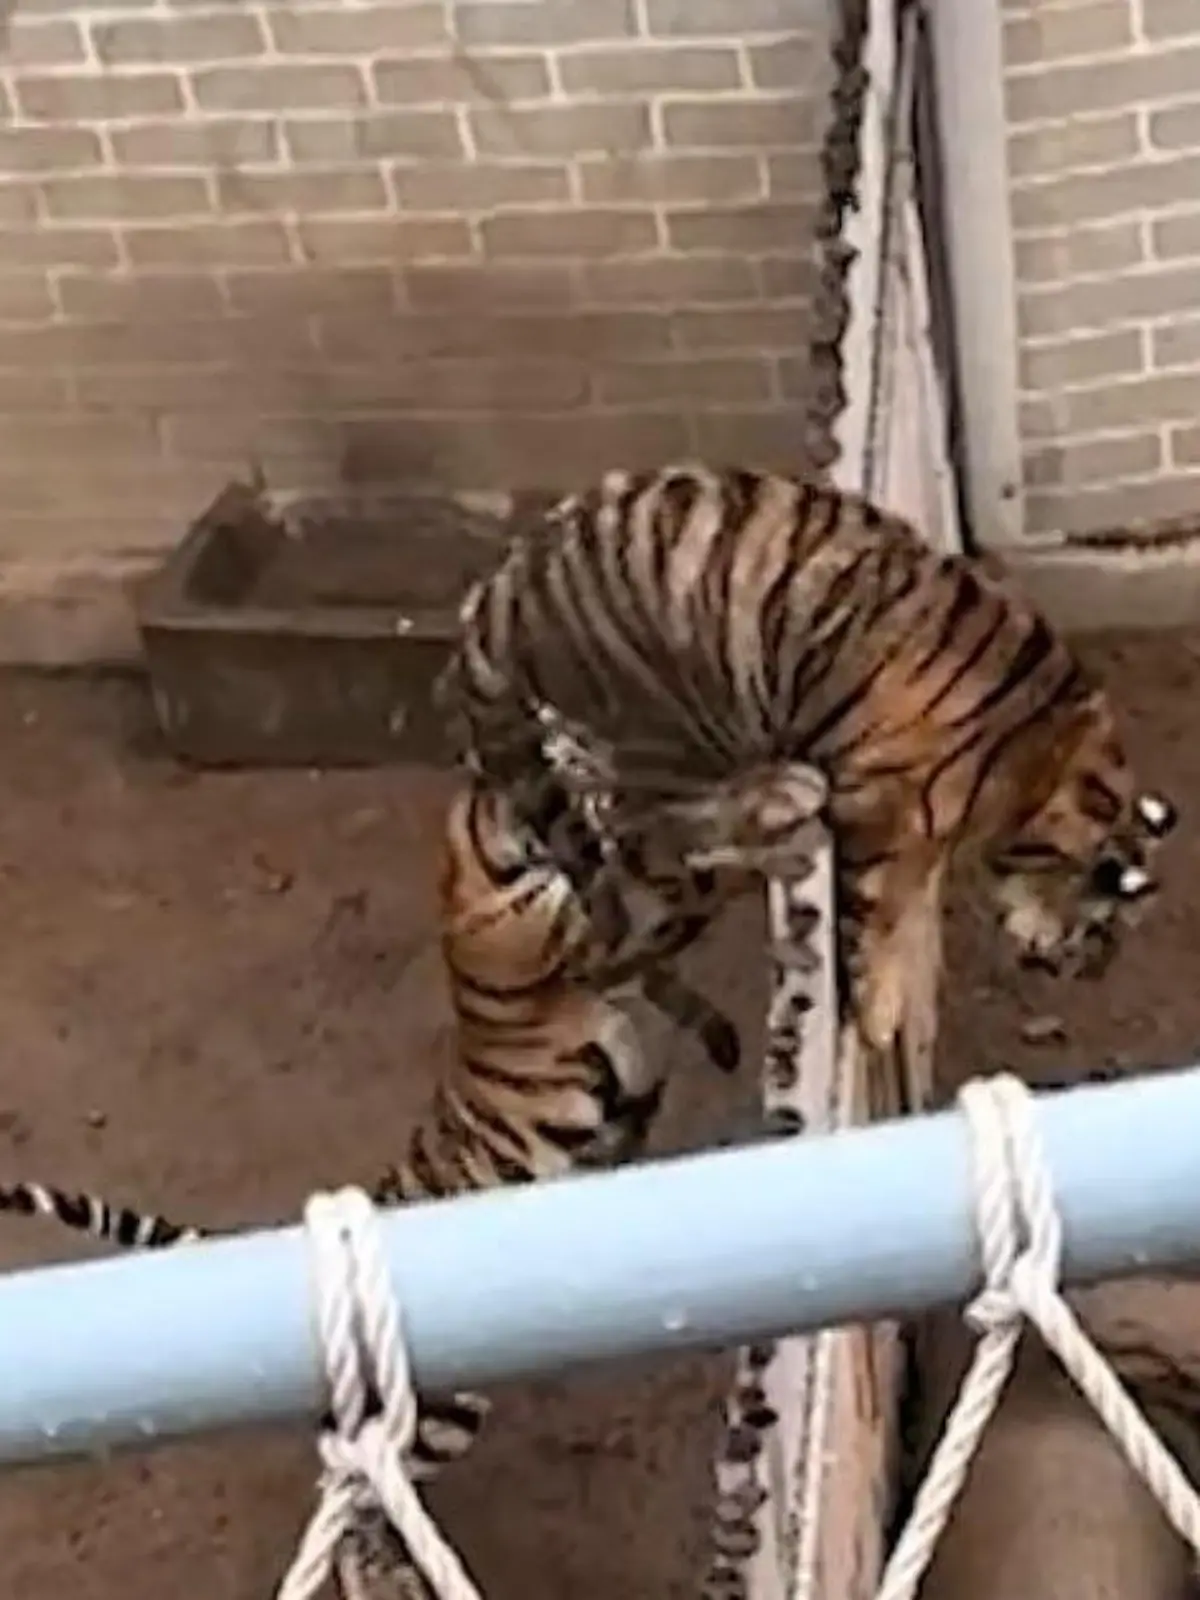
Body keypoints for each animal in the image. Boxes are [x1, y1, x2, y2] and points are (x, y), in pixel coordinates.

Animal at [436, 462, 1178, 1056]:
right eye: (1103, 935)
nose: (1087, 976)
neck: (1043, 769)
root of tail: (494, 592)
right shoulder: (877, 807)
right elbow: (869, 918)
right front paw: (878, 1015)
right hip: (676, 727)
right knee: (651, 847)